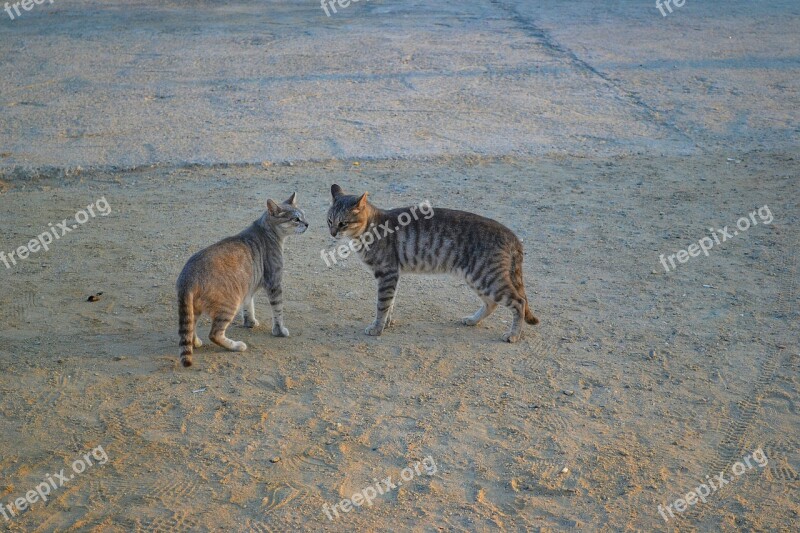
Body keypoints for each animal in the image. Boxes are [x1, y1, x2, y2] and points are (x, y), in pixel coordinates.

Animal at [177, 193, 308, 368]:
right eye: (296, 219)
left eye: (304, 215)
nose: (307, 224)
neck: (267, 231)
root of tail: (187, 275)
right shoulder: (274, 282)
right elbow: (278, 311)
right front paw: (279, 331)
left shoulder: (247, 286)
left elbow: (248, 306)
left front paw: (250, 322)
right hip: (229, 303)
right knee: (214, 334)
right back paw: (236, 345)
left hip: (195, 307)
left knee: (191, 326)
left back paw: (195, 342)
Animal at [328, 183, 540, 340]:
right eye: (330, 220)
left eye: (343, 223)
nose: (332, 233)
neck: (369, 228)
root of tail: (511, 234)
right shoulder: (392, 276)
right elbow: (390, 303)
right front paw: (386, 323)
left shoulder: (387, 274)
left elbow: (382, 305)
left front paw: (377, 327)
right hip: (478, 278)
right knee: (492, 303)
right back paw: (473, 320)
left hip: (487, 277)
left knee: (519, 302)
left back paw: (513, 335)